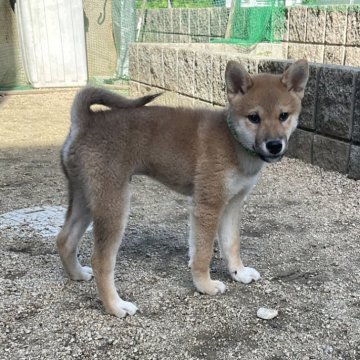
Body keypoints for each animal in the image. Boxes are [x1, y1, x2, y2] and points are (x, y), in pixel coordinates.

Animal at [57, 59, 310, 318]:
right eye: (254, 117)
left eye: (283, 115)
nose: (274, 145)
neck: (233, 142)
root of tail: (85, 121)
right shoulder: (208, 204)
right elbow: (204, 252)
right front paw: (205, 285)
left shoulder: (232, 204)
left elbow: (230, 244)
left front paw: (238, 273)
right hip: (113, 205)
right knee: (101, 261)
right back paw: (115, 306)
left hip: (87, 198)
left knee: (65, 240)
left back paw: (77, 274)